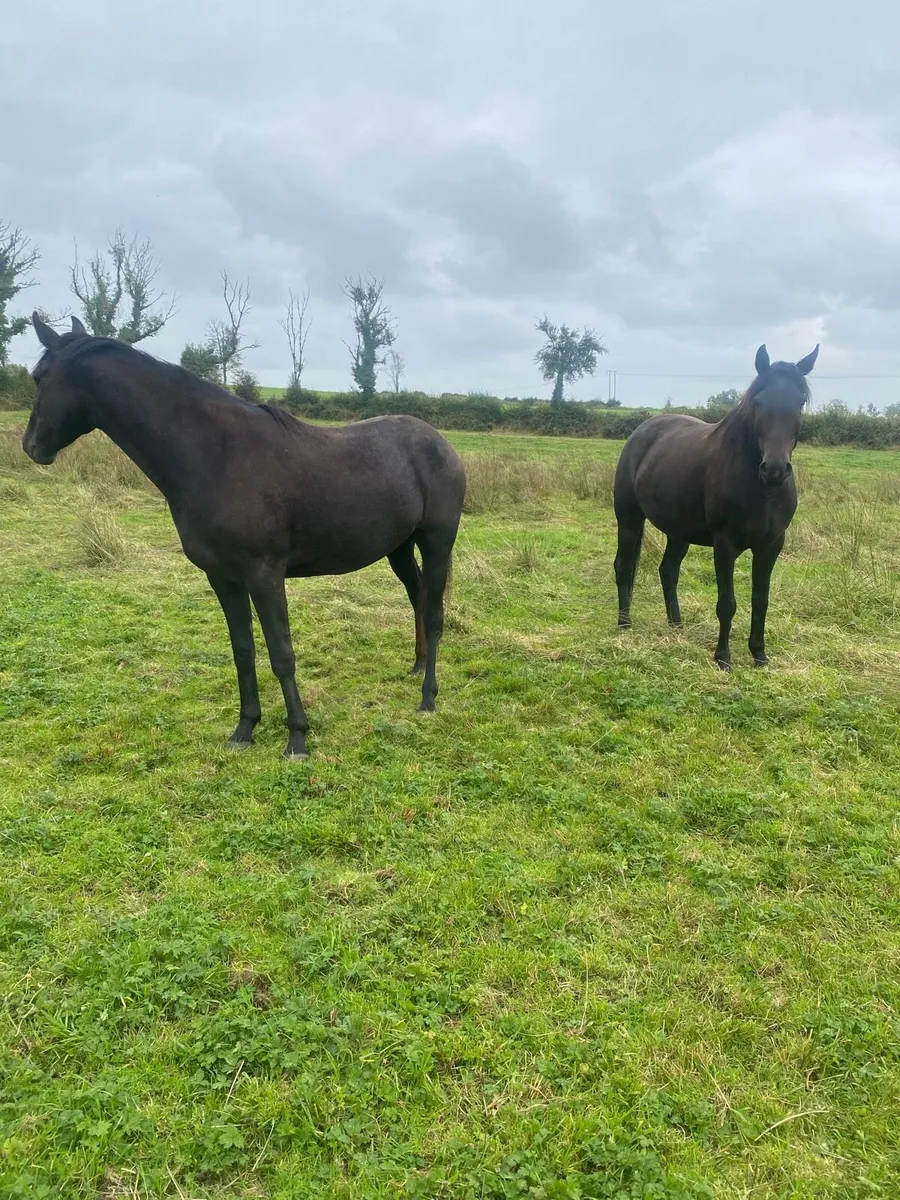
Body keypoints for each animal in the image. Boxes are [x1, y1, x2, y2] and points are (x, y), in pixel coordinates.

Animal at [23, 314, 466, 759]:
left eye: (38, 377)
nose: (30, 446)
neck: (216, 456)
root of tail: (440, 443)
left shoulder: (264, 576)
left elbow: (282, 654)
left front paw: (297, 738)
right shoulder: (223, 578)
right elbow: (243, 650)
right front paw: (245, 729)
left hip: (436, 543)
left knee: (434, 613)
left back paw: (428, 697)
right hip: (399, 547)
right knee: (418, 595)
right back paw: (415, 667)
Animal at [613, 343, 818, 670]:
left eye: (800, 403)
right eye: (758, 401)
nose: (774, 470)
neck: (760, 491)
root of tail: (643, 429)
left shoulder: (772, 544)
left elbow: (761, 600)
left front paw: (759, 655)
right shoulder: (725, 543)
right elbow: (727, 603)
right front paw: (723, 658)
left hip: (678, 532)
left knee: (668, 571)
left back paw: (677, 625)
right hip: (629, 518)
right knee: (624, 565)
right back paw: (624, 624)